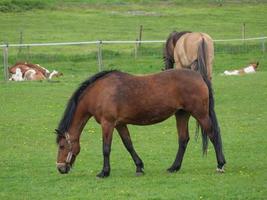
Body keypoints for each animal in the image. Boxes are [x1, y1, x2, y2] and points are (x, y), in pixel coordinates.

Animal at [56, 69, 226, 178]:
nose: (60, 168)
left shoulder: (108, 123)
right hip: (182, 114)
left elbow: (106, 149)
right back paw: (174, 167)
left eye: (62, 146)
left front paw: (104, 172)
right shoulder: (120, 124)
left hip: (200, 114)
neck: (99, 92)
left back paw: (220, 165)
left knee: (213, 134)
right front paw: (139, 167)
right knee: (183, 139)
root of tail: (199, 76)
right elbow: (128, 145)